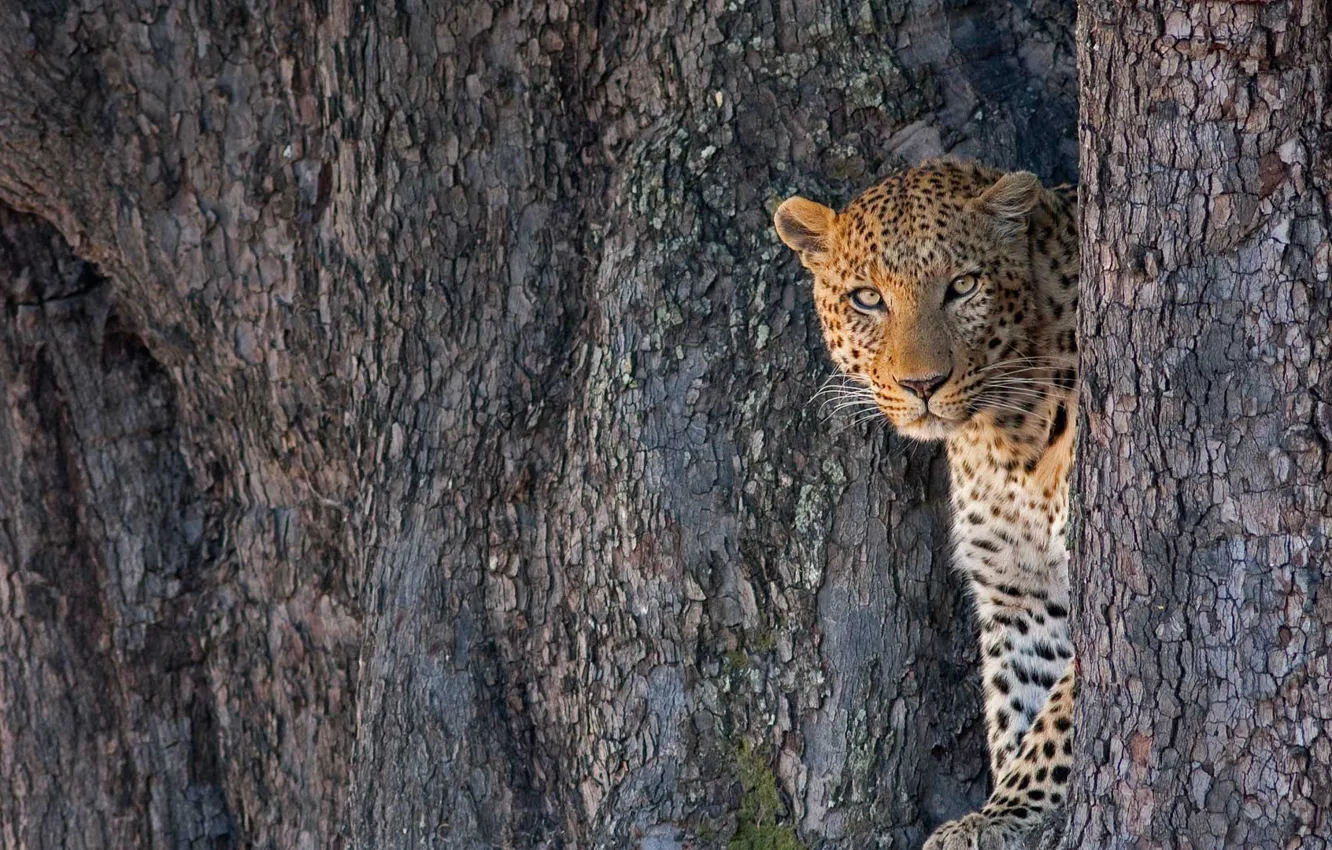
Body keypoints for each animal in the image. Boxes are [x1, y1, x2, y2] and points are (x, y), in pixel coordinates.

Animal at [773, 158, 1079, 850]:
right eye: (867, 298)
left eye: (963, 286)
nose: (922, 384)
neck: (1007, 435)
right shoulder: (1019, 590)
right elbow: (1019, 702)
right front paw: (1005, 811)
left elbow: (1062, 713)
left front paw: (1007, 809)